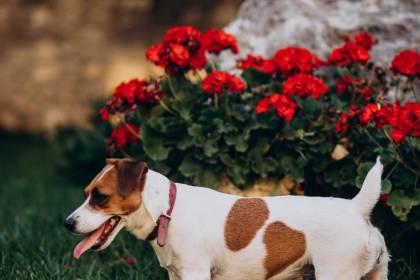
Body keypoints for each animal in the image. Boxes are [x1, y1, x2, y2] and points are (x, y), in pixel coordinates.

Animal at [64, 159, 388, 278]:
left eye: (99, 197)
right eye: (86, 193)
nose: (67, 223)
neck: (168, 211)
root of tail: (356, 208)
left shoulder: (195, 273)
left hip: (336, 274)